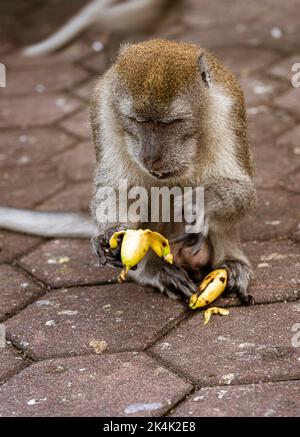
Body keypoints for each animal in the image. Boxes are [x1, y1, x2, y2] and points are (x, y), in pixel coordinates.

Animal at [0, 39, 255, 304]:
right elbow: (116, 189)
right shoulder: (103, 108)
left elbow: (241, 188)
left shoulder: (227, 110)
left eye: (168, 123)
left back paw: (231, 262)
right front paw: (111, 233)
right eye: (138, 121)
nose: (150, 156)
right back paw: (155, 269)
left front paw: (198, 205)